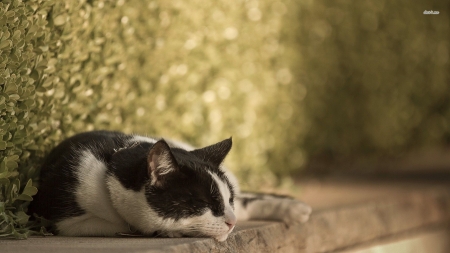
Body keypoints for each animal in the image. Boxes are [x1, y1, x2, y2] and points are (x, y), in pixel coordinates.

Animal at [29, 130, 312, 241]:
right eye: (204, 203)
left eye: (226, 199)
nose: (232, 222)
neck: (112, 167)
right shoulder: (63, 219)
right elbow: (120, 224)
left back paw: (294, 209)